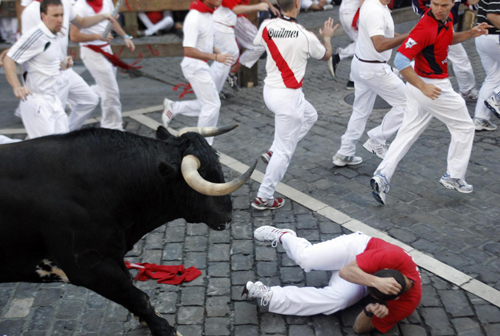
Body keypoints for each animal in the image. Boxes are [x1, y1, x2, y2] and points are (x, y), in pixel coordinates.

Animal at [0, 126, 256, 336]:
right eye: (206, 177)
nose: (228, 215)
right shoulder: (88, 267)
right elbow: (137, 297)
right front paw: (164, 328)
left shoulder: (112, 255)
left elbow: (132, 288)